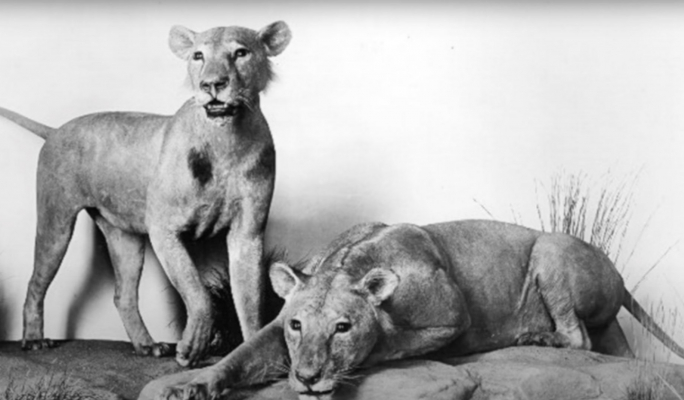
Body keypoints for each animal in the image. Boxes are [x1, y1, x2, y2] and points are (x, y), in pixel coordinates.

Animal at [0, 21, 291, 367]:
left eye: (241, 53)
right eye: (198, 56)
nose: (211, 84)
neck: (228, 140)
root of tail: (56, 130)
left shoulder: (247, 234)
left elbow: (250, 303)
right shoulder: (163, 228)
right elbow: (199, 294)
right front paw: (192, 347)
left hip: (124, 237)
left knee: (122, 295)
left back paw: (146, 345)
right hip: (56, 222)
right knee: (36, 282)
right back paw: (33, 340)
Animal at [154, 219, 684, 400]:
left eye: (343, 327)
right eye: (298, 326)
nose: (306, 378)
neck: (352, 261)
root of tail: (618, 275)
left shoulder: (454, 318)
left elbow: (388, 343)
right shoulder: (277, 326)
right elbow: (240, 356)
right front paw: (193, 383)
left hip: (552, 248)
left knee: (578, 337)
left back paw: (536, 335)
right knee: (611, 347)